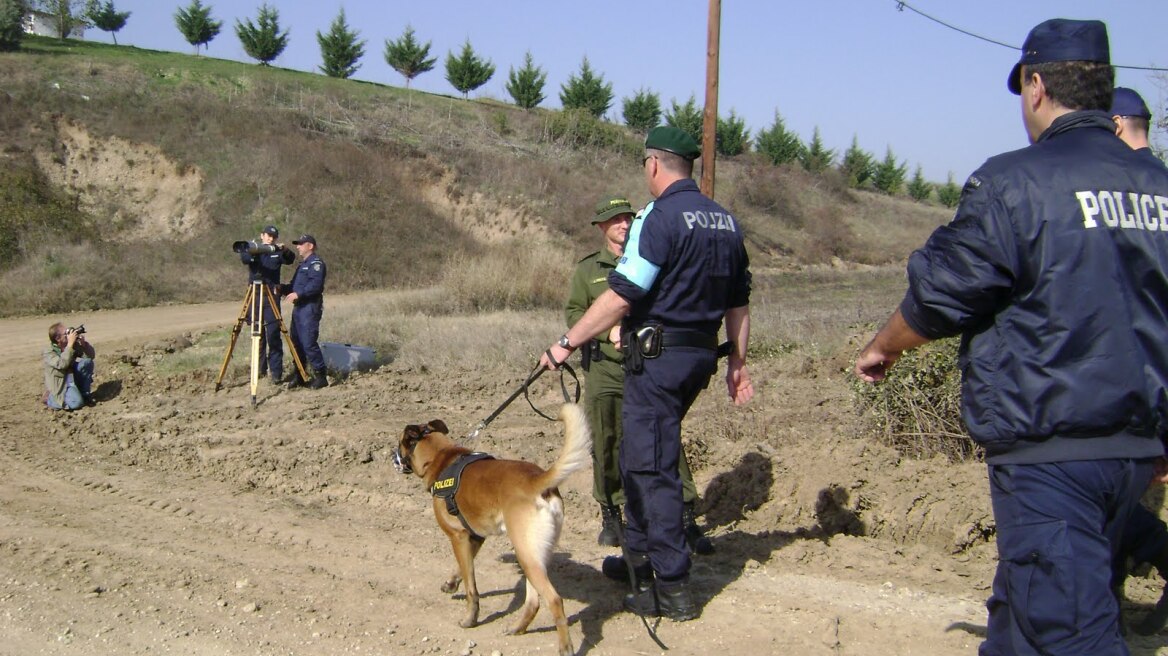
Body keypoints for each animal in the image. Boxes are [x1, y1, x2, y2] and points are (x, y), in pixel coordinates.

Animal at [394, 401, 593, 648]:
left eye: (399, 442)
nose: (392, 457)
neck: (441, 456)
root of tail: (537, 480)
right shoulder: (475, 537)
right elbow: (462, 568)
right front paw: (451, 583)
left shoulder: (458, 537)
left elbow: (471, 586)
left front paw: (470, 619)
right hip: (534, 555)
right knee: (534, 601)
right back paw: (518, 628)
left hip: (526, 554)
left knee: (554, 600)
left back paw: (565, 648)